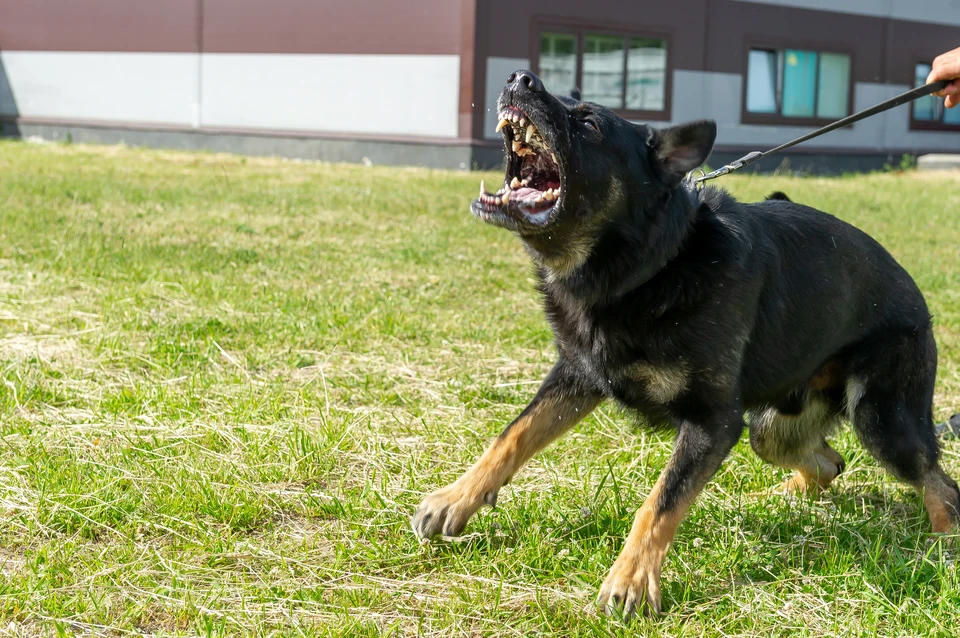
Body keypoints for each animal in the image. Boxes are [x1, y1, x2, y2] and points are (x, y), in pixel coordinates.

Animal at [406, 70, 960, 620]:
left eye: (589, 123)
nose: (520, 77)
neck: (650, 265)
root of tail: (914, 293)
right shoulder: (578, 375)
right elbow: (513, 435)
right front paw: (456, 498)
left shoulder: (713, 423)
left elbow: (661, 501)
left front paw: (630, 578)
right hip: (771, 429)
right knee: (829, 461)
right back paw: (788, 494)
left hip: (881, 420)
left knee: (939, 482)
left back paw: (941, 542)